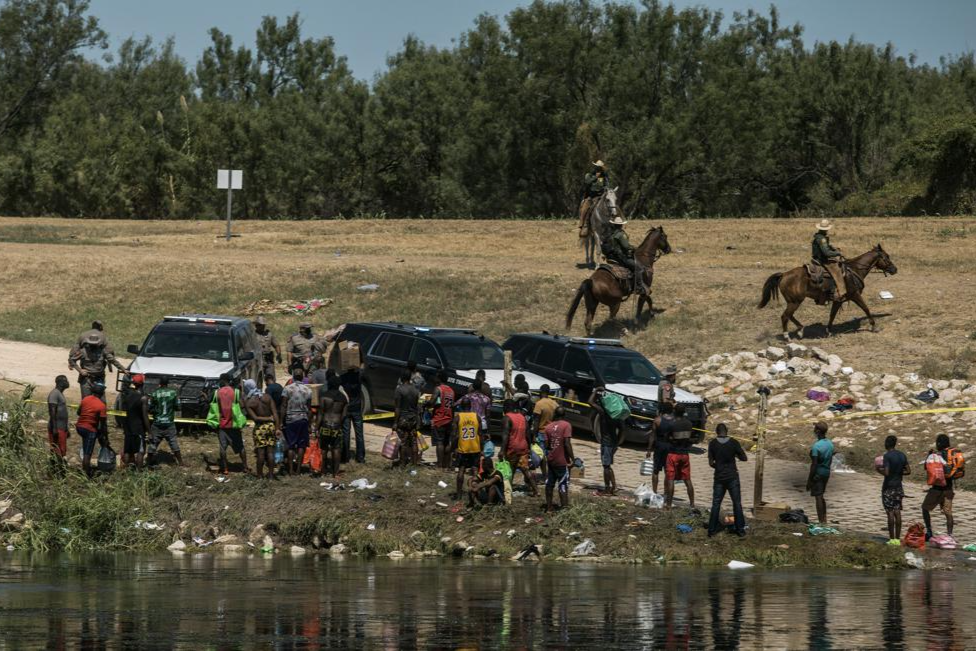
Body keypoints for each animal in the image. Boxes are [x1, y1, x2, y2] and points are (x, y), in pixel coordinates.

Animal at [756, 244, 900, 342]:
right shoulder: (855, 295)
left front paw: (828, 331)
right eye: (887, 257)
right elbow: (866, 308)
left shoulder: (839, 299)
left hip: (794, 302)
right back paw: (788, 337)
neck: (854, 270)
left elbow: (832, 315)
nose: (894, 269)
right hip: (794, 302)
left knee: (789, 315)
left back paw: (801, 330)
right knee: (785, 316)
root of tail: (784, 274)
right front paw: (874, 326)